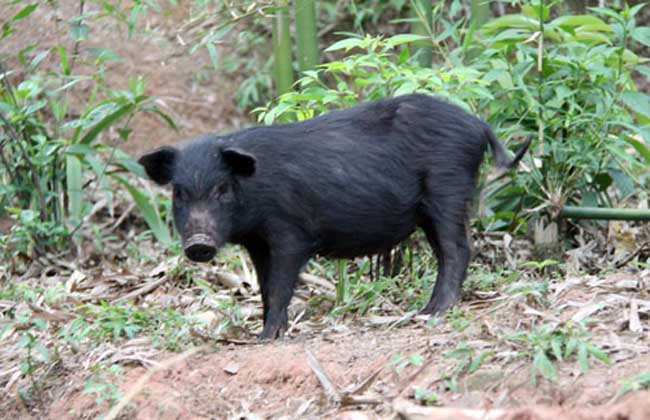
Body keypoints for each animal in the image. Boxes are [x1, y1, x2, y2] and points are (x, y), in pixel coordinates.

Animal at [139, 93, 528, 340]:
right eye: (179, 192)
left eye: (222, 188)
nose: (198, 243)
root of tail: (478, 125)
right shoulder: (258, 243)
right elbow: (264, 287)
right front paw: (263, 332)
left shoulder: (289, 232)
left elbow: (281, 285)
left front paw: (267, 337)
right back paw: (425, 310)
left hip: (448, 188)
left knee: (457, 250)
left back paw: (435, 313)